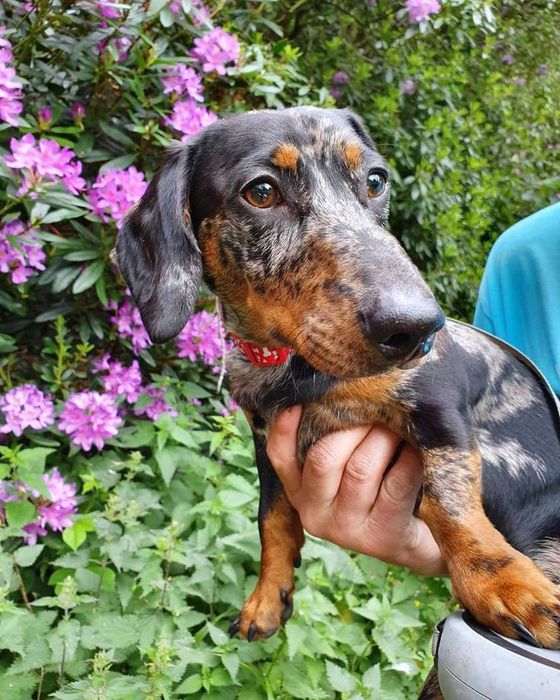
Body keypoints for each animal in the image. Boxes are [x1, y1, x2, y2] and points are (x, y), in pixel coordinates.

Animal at [116, 106, 560, 679]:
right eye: (262, 192)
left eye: (375, 180)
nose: (418, 328)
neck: (296, 370)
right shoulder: (267, 444)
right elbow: (273, 519)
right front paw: (268, 597)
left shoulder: (440, 401)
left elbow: (448, 499)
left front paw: (506, 584)